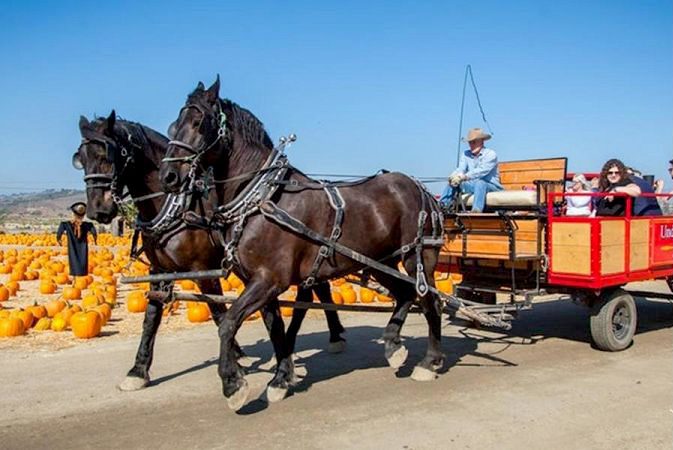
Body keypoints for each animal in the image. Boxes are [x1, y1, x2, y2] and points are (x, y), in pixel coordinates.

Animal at [74, 111, 346, 390]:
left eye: (108, 155)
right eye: (81, 159)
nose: (98, 210)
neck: (177, 207)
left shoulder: (203, 270)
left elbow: (217, 312)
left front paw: (236, 360)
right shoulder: (159, 270)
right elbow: (151, 317)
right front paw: (138, 371)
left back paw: (331, 337)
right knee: (316, 287)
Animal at [159, 78, 444, 412]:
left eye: (199, 122)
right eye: (173, 125)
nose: (168, 176)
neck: (263, 200)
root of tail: (419, 187)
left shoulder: (270, 279)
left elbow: (228, 323)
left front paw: (233, 384)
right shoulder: (260, 282)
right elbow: (275, 329)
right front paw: (280, 379)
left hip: (417, 258)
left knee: (430, 300)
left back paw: (429, 362)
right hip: (381, 262)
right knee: (405, 294)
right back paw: (392, 345)